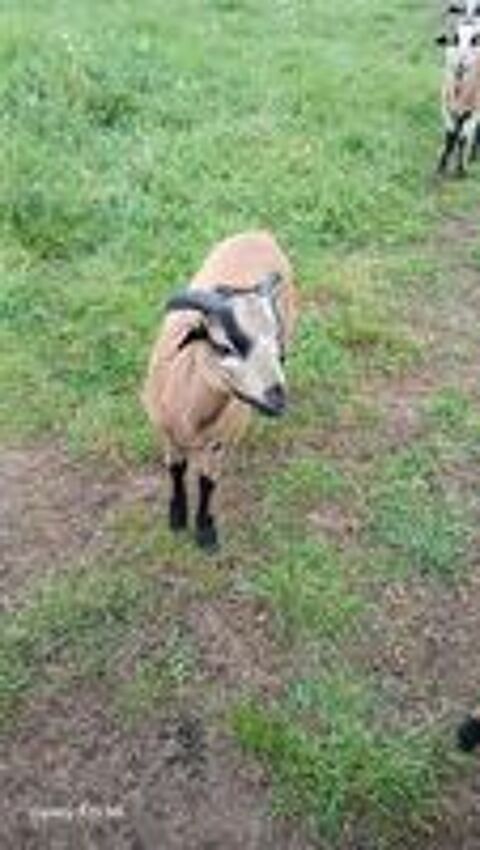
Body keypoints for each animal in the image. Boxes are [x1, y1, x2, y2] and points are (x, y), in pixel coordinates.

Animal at [142, 231, 297, 552]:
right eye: (224, 347)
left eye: (277, 345)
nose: (277, 398)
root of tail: (260, 233)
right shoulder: (165, 432)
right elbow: (176, 470)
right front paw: (177, 518)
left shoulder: (219, 442)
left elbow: (207, 483)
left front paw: (205, 531)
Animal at [436, 19, 480, 176]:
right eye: (455, 39)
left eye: (475, 40)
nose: (461, 63)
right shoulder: (446, 107)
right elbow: (450, 136)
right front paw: (441, 167)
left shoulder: (474, 111)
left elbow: (463, 138)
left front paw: (461, 170)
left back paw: (473, 155)